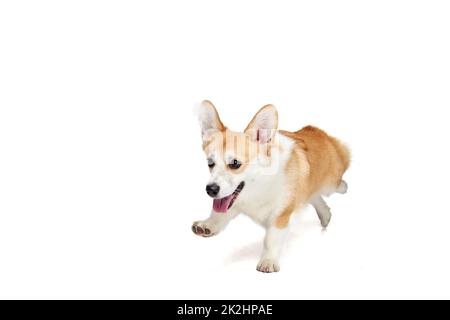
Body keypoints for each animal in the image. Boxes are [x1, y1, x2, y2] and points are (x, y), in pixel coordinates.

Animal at [192, 100, 350, 272]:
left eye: (235, 164)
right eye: (210, 163)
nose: (210, 190)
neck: (258, 185)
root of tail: (321, 133)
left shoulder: (280, 214)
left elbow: (271, 239)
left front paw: (268, 260)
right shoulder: (232, 202)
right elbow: (219, 215)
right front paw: (208, 224)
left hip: (331, 183)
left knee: (337, 185)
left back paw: (342, 187)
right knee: (313, 195)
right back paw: (325, 215)